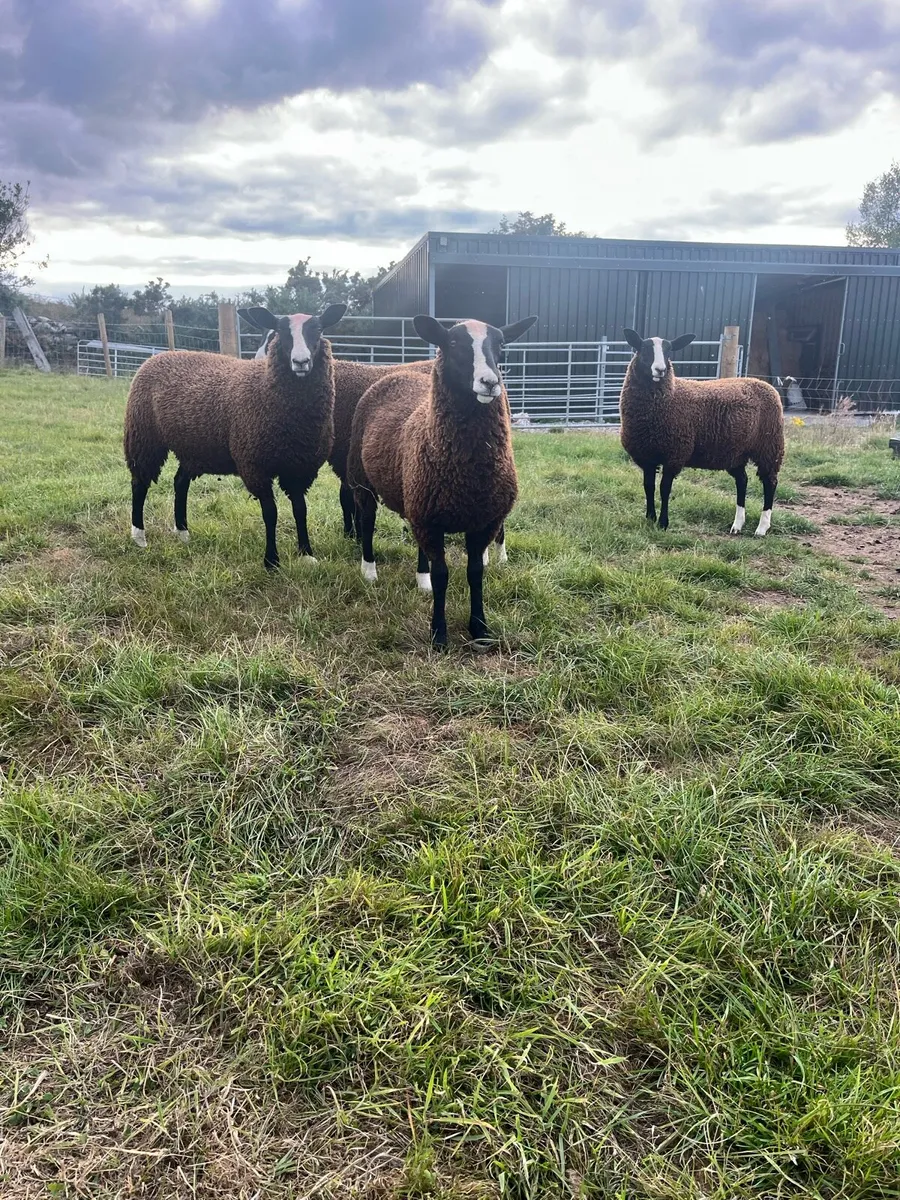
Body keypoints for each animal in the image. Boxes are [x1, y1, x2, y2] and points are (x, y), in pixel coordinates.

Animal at [124, 303, 346, 569]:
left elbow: (300, 510)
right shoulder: (254, 465)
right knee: (140, 482)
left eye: (319, 330)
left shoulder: (300, 468)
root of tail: (157, 356)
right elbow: (270, 513)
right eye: (281, 331)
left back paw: (183, 532)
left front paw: (306, 554)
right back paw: (139, 536)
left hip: (194, 447)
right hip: (143, 435)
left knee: (179, 482)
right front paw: (271, 560)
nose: (300, 362)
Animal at [347, 313, 537, 647]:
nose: (490, 382)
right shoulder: (432, 521)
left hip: (417, 500)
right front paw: (439, 634)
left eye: (501, 343)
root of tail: (399, 373)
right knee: (367, 523)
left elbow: (475, 573)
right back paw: (369, 572)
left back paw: (420, 579)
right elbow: (442, 576)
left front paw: (480, 629)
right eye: (452, 342)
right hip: (363, 480)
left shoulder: (481, 521)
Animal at [620, 329, 785, 537]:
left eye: (669, 351)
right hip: (735, 453)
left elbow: (664, 489)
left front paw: (663, 523)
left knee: (770, 482)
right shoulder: (646, 456)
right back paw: (737, 525)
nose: (660, 369)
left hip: (769, 445)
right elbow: (648, 487)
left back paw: (762, 528)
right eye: (644, 349)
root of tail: (765, 384)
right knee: (742, 480)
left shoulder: (675, 454)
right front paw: (650, 518)